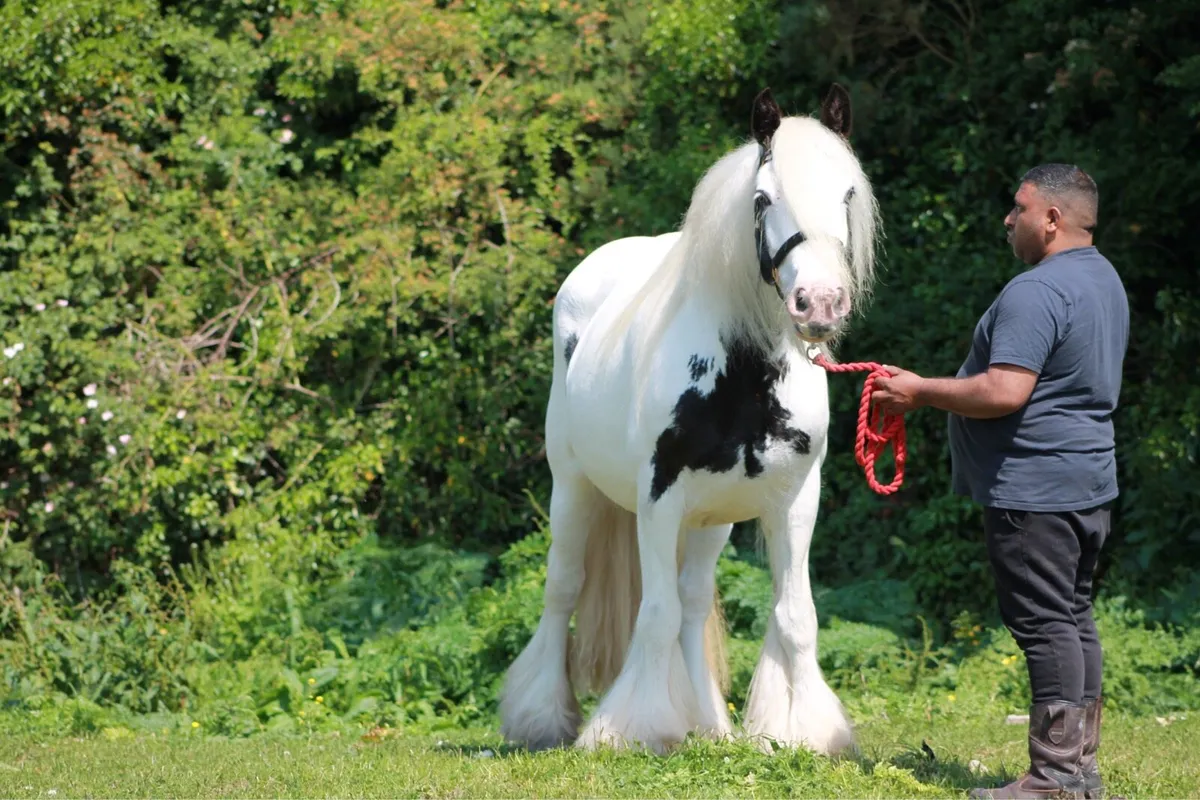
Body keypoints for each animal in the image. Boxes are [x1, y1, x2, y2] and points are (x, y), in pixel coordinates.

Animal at [498, 85, 883, 757]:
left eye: (847, 194)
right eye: (763, 199)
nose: (820, 304)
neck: (745, 379)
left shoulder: (794, 501)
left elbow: (794, 617)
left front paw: (807, 732)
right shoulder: (658, 498)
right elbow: (653, 617)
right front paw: (633, 731)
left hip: (711, 521)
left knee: (694, 600)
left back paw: (708, 724)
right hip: (573, 488)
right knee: (563, 587)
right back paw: (541, 718)